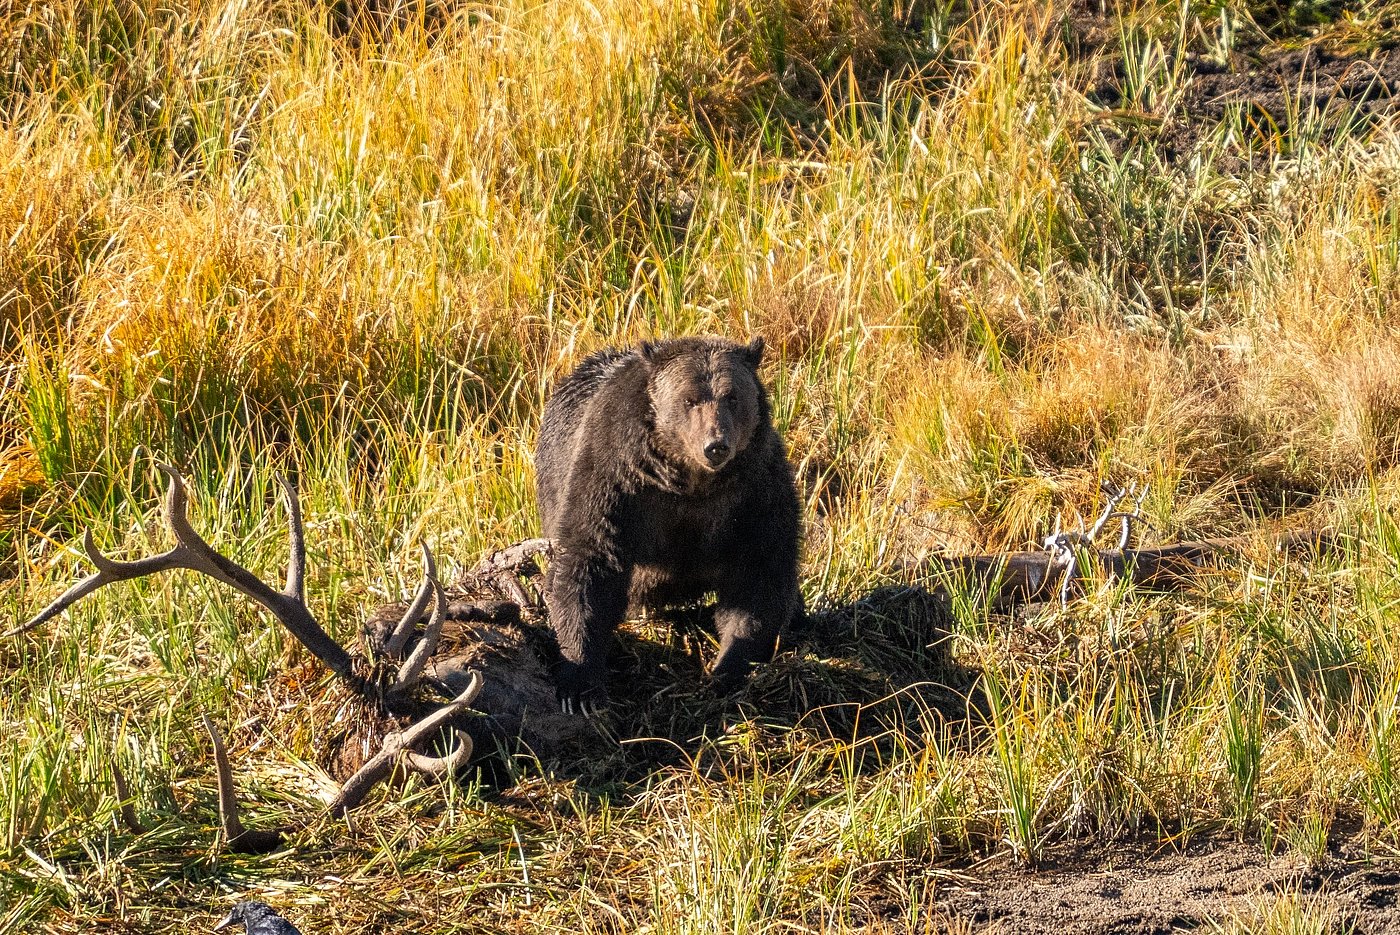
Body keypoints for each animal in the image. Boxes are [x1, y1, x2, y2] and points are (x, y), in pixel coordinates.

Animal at [535, 335, 802, 714]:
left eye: (732, 397)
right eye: (689, 399)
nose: (716, 446)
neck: (691, 483)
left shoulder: (755, 490)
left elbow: (762, 573)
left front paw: (726, 668)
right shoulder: (616, 478)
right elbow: (589, 560)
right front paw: (579, 683)